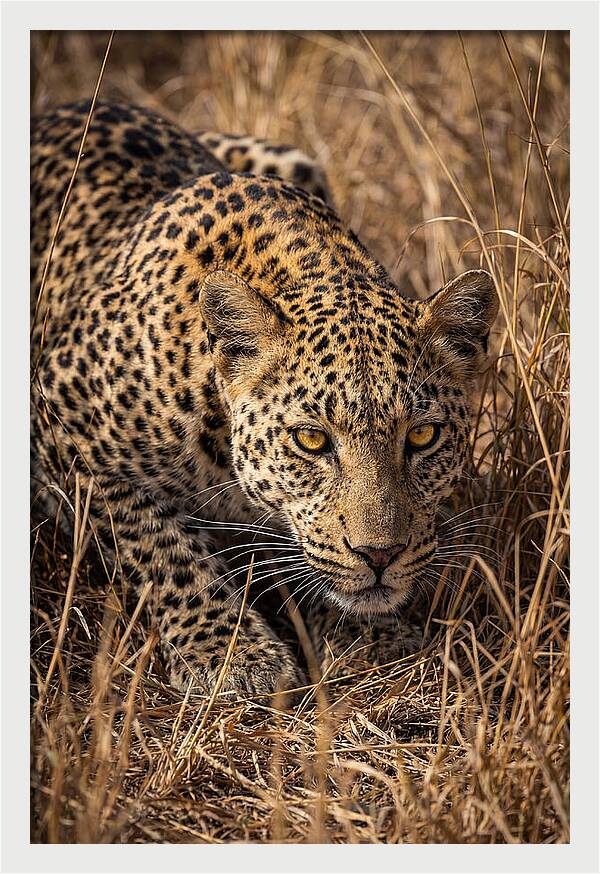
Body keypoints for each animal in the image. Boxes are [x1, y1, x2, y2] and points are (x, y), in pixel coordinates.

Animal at [31, 100, 498, 697]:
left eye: (422, 435)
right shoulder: (58, 420)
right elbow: (159, 545)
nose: (380, 555)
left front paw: (370, 638)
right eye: (311, 440)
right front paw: (232, 654)